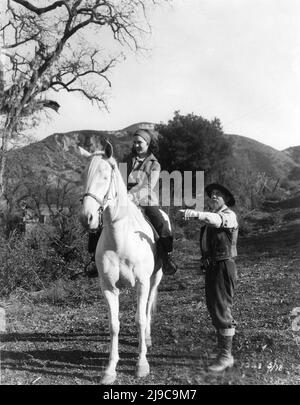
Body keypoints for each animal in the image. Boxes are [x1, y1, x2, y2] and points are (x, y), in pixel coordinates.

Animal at [79, 140, 165, 384]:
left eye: (105, 175)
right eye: (83, 176)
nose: (86, 218)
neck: (120, 238)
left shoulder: (143, 283)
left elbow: (140, 320)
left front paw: (142, 364)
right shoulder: (108, 287)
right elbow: (114, 325)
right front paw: (110, 369)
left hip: (155, 278)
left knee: (147, 308)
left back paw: (147, 339)